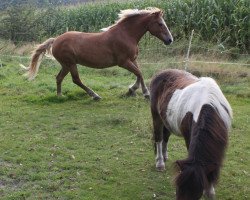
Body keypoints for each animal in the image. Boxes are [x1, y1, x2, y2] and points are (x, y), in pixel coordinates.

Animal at [22, 7, 173, 100]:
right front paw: (145, 93)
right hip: (71, 63)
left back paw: (60, 96)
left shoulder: (133, 59)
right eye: (160, 24)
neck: (126, 35)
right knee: (76, 80)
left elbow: (139, 74)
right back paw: (95, 95)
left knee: (59, 78)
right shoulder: (123, 62)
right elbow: (139, 73)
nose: (170, 40)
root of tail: (56, 40)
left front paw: (132, 90)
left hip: (66, 65)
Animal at [148, 69, 232, 200]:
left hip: (166, 120)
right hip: (156, 117)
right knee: (159, 138)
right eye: (177, 189)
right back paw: (160, 163)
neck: (208, 103)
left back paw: (165, 156)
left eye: (196, 192)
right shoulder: (189, 136)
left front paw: (210, 191)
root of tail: (161, 73)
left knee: (165, 136)